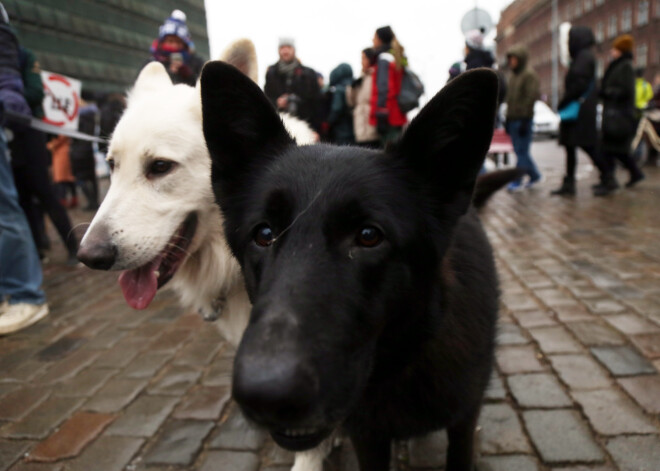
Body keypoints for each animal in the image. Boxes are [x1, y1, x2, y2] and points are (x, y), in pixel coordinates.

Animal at [201, 63, 500, 471]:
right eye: (264, 234)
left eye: (369, 236)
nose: (266, 396)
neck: (399, 363)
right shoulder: (367, 436)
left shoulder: (462, 419)